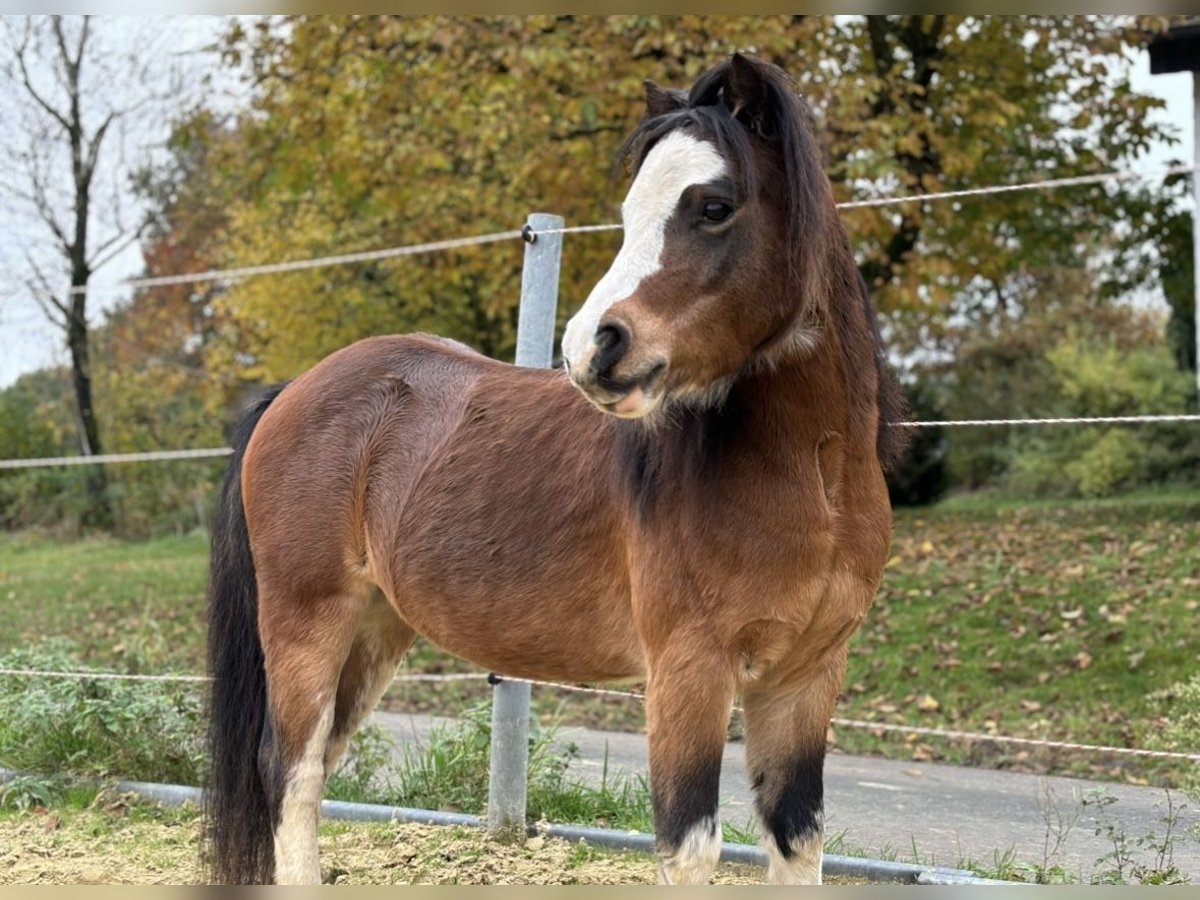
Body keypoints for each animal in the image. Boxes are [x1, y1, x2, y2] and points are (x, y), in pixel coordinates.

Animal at [201, 56, 902, 888]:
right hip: (307, 621)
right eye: (631, 210)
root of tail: (292, 392)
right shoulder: (688, 674)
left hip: (375, 631)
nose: (591, 347)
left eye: (714, 206)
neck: (815, 477)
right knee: (293, 774)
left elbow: (797, 844)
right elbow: (688, 847)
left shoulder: (805, 680)